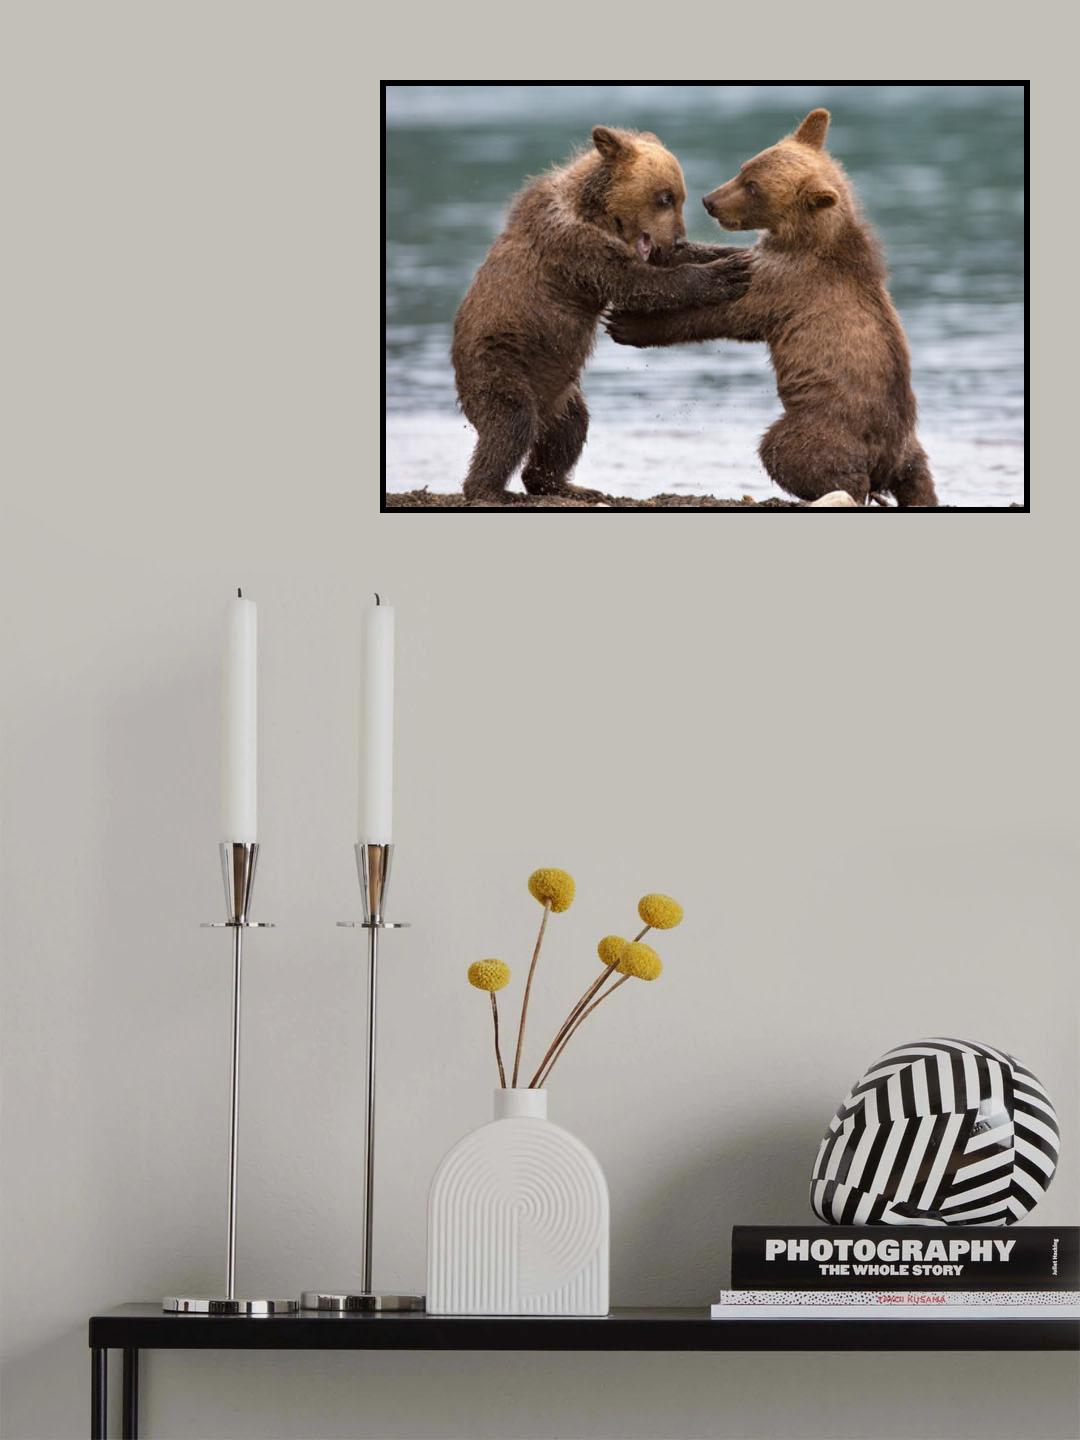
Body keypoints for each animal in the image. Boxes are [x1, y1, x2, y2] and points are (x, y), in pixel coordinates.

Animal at [451, 126, 751, 504]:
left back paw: (565, 485)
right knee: (510, 423)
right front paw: (725, 274)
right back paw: (490, 489)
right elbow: (639, 282)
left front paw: (737, 254)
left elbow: (665, 263)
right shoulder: (576, 247)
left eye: (680, 197)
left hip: (561, 393)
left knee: (568, 431)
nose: (678, 239)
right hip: (500, 363)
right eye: (664, 197)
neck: (597, 212)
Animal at [608, 109, 939, 508]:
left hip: (825, 424)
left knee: (790, 453)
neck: (808, 238)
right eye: (744, 168)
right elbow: (728, 260)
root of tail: (887, 456)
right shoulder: (771, 260)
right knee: (920, 481)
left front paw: (627, 325)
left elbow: (724, 314)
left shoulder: (787, 284)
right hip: (911, 450)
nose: (710, 201)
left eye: (754, 187)